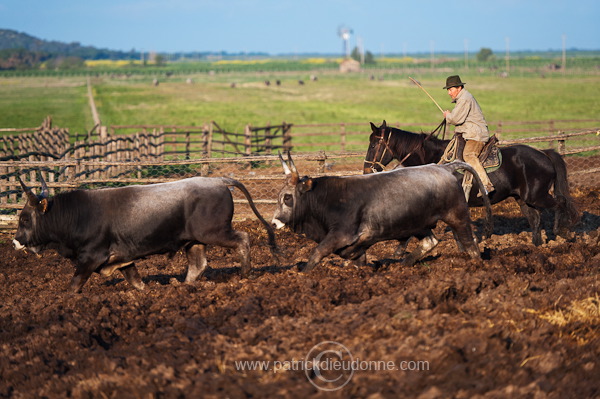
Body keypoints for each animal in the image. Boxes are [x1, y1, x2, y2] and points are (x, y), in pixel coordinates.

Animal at [364, 120, 580, 245]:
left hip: (537, 195)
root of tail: (544, 153)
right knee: (535, 219)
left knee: (560, 203)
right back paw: (536, 245)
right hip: (523, 198)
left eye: (373, 144)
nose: (366, 169)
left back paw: (563, 232)